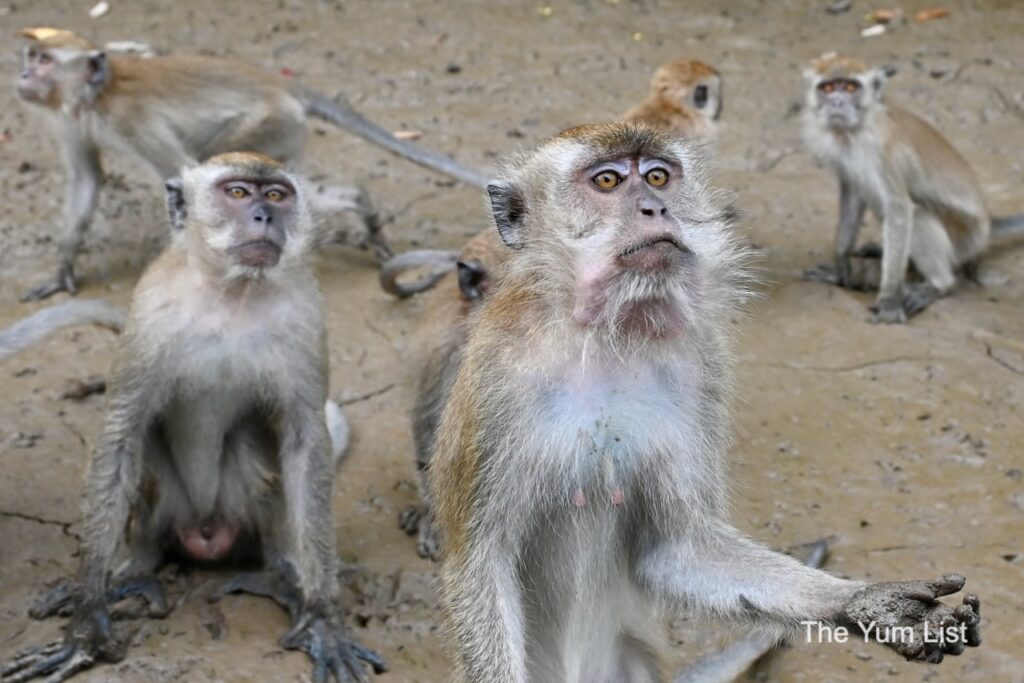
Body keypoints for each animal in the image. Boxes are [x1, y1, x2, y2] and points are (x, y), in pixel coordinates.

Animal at [1, 154, 385, 683]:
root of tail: (205, 533)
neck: (234, 291)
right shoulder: (149, 309)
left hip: (238, 510)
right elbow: (123, 432)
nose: (265, 216)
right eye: (238, 193)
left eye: (277, 194)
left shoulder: (306, 312)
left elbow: (305, 441)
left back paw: (279, 574)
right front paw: (88, 616)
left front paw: (322, 615)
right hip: (168, 510)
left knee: (253, 449)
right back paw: (133, 571)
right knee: (147, 448)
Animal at [17, 26, 491, 301]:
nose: (22, 76)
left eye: (43, 61)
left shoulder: (131, 120)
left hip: (271, 126)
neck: (96, 95)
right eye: (31, 57)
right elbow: (86, 180)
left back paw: (359, 208)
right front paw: (62, 268)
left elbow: (180, 171)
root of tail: (283, 87)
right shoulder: (68, 120)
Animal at [428, 124, 978, 683]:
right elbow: (483, 562)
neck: (607, 334)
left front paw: (869, 603)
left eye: (657, 176)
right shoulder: (497, 377)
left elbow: (677, 550)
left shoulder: (701, 365)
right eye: (607, 180)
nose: (655, 208)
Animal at [798, 53, 1024, 323]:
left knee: (917, 216)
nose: (838, 102)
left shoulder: (884, 154)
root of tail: (988, 223)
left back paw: (939, 284)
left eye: (851, 87)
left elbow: (899, 209)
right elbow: (853, 196)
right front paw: (841, 270)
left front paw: (889, 300)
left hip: (967, 237)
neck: (855, 132)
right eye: (828, 88)